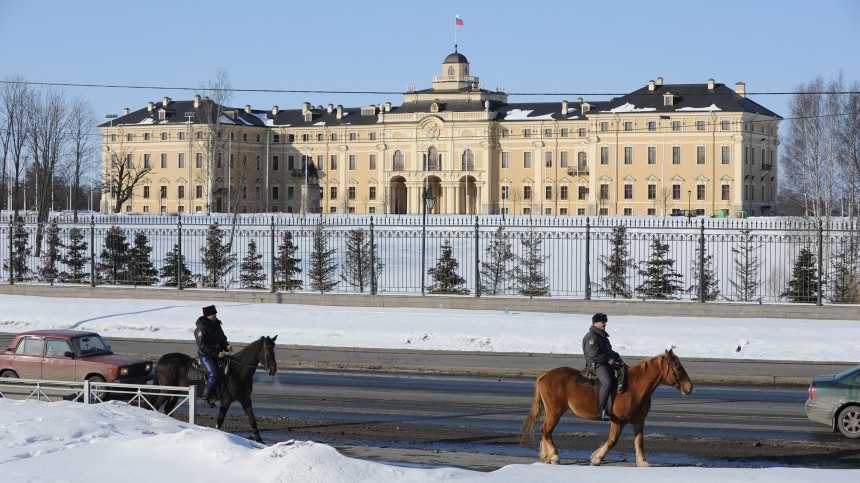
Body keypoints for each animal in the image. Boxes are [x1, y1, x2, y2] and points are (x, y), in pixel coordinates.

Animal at [150, 336, 278, 442]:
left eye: (274, 350)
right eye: (268, 349)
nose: (273, 369)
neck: (238, 370)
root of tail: (161, 361)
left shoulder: (245, 399)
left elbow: (252, 419)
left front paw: (260, 441)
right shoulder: (226, 400)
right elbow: (220, 419)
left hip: (175, 392)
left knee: (168, 408)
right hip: (166, 391)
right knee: (156, 406)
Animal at [516, 350, 692, 466]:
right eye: (677, 367)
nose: (689, 387)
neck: (635, 386)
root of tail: (547, 374)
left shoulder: (638, 421)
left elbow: (639, 441)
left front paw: (642, 461)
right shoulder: (617, 421)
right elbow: (612, 441)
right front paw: (596, 458)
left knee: (546, 431)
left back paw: (546, 455)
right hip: (555, 411)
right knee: (546, 430)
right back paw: (554, 456)